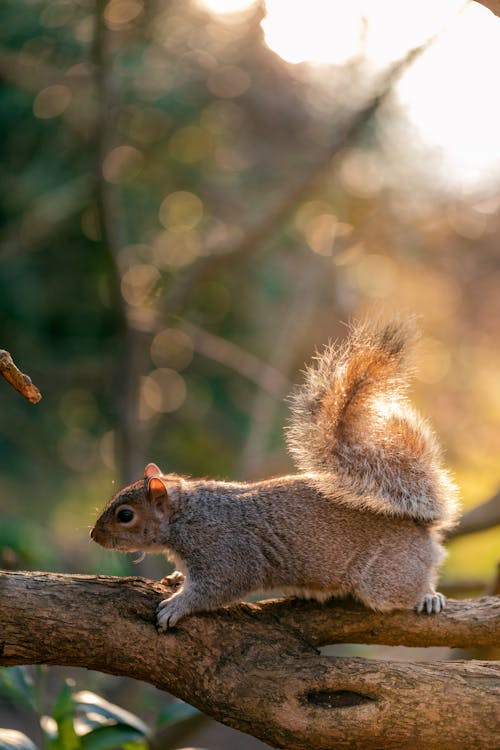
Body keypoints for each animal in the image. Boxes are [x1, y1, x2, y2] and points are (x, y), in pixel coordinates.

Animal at [92, 318, 458, 628]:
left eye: (125, 515)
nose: (95, 536)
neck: (187, 515)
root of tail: (420, 528)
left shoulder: (226, 552)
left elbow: (216, 588)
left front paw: (177, 606)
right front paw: (177, 578)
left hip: (384, 575)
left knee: (404, 587)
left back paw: (428, 597)